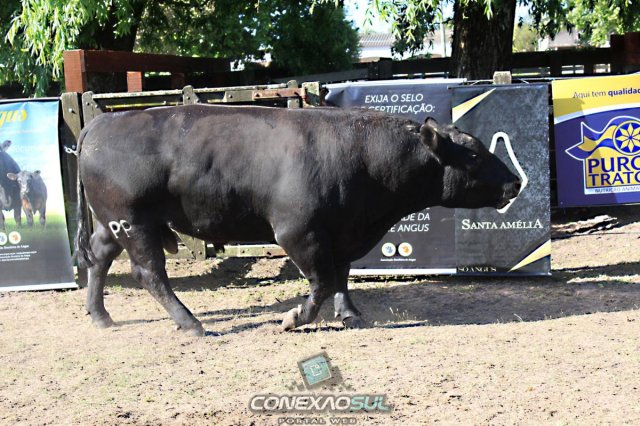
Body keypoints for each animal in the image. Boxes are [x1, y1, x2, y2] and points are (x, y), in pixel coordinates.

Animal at [75, 105, 521, 336]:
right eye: (474, 156)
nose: (515, 182)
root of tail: (103, 121)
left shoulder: (343, 232)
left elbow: (341, 276)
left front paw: (350, 315)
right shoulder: (298, 232)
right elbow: (322, 281)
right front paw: (294, 318)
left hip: (112, 223)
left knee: (99, 257)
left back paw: (101, 316)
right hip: (134, 222)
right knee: (149, 272)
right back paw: (192, 324)